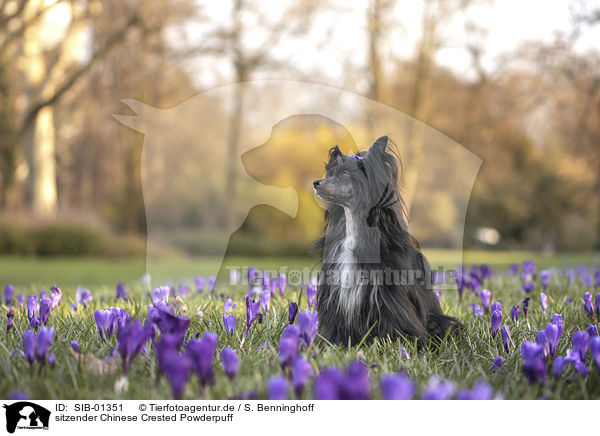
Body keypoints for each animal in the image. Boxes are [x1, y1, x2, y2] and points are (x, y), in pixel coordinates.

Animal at [312, 135, 462, 346]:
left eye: (346, 174)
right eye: (330, 172)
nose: (316, 182)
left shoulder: (388, 292)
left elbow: (393, 319)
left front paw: (393, 343)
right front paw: (335, 342)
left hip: (440, 321)